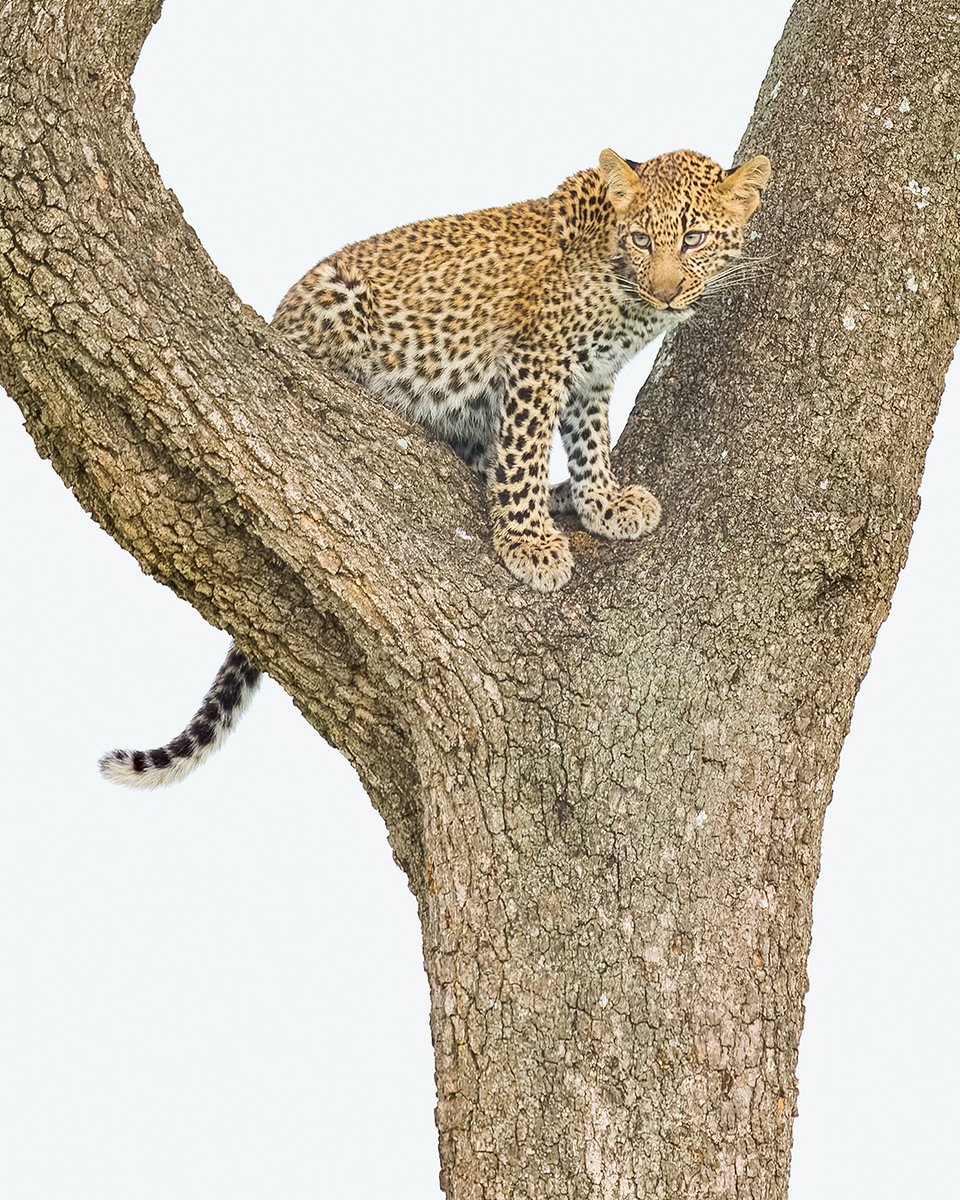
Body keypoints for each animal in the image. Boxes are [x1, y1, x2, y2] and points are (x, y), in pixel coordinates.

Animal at [99, 147, 772, 787]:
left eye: (694, 238)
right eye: (642, 239)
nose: (666, 290)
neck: (629, 298)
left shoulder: (591, 377)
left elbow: (589, 443)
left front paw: (602, 503)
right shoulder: (535, 361)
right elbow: (525, 452)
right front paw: (529, 545)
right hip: (339, 305)